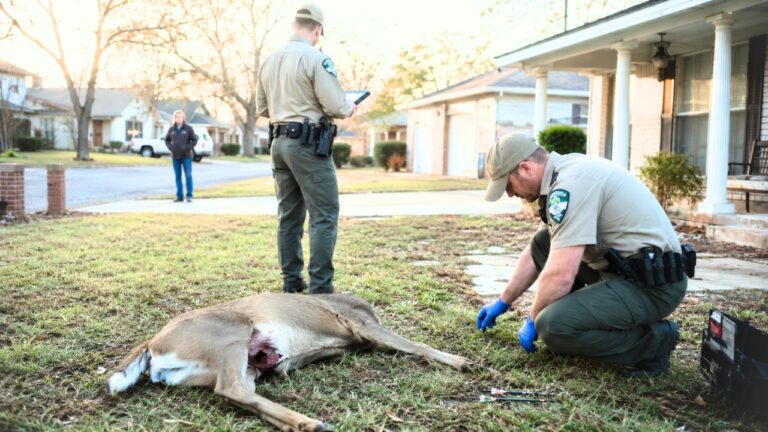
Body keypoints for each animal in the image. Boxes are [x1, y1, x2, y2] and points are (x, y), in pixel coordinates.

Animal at [107, 292, 475, 431]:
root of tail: (153, 344)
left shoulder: (361, 339)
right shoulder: (362, 324)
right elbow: (416, 344)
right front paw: (461, 361)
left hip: (239, 365)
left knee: (240, 394)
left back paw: (304, 424)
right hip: (232, 331)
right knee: (231, 389)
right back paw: (308, 422)